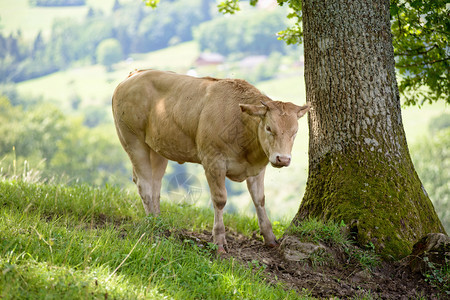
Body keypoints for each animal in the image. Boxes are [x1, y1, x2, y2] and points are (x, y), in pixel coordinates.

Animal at [112, 69, 310, 252]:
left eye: (295, 132)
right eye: (269, 128)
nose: (282, 158)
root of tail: (134, 74)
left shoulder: (257, 168)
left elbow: (259, 199)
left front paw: (270, 238)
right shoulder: (213, 161)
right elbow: (220, 199)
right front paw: (219, 241)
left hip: (157, 148)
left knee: (155, 185)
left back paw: (160, 222)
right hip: (132, 140)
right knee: (144, 184)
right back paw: (152, 223)